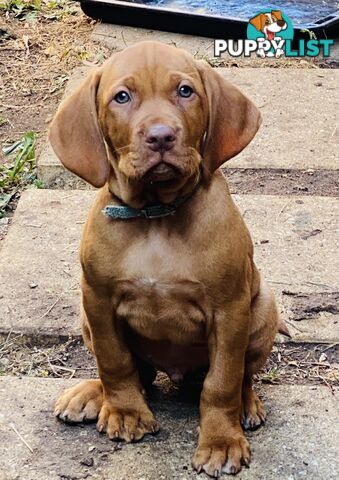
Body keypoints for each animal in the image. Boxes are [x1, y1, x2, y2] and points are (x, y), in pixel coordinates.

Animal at [49, 41, 284, 476]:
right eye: (122, 97)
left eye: (185, 91)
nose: (161, 137)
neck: (155, 217)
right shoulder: (97, 299)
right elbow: (114, 361)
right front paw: (125, 412)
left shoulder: (230, 309)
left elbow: (222, 381)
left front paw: (221, 442)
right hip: (85, 317)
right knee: (136, 371)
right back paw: (92, 395)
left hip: (262, 309)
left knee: (241, 376)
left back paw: (246, 405)